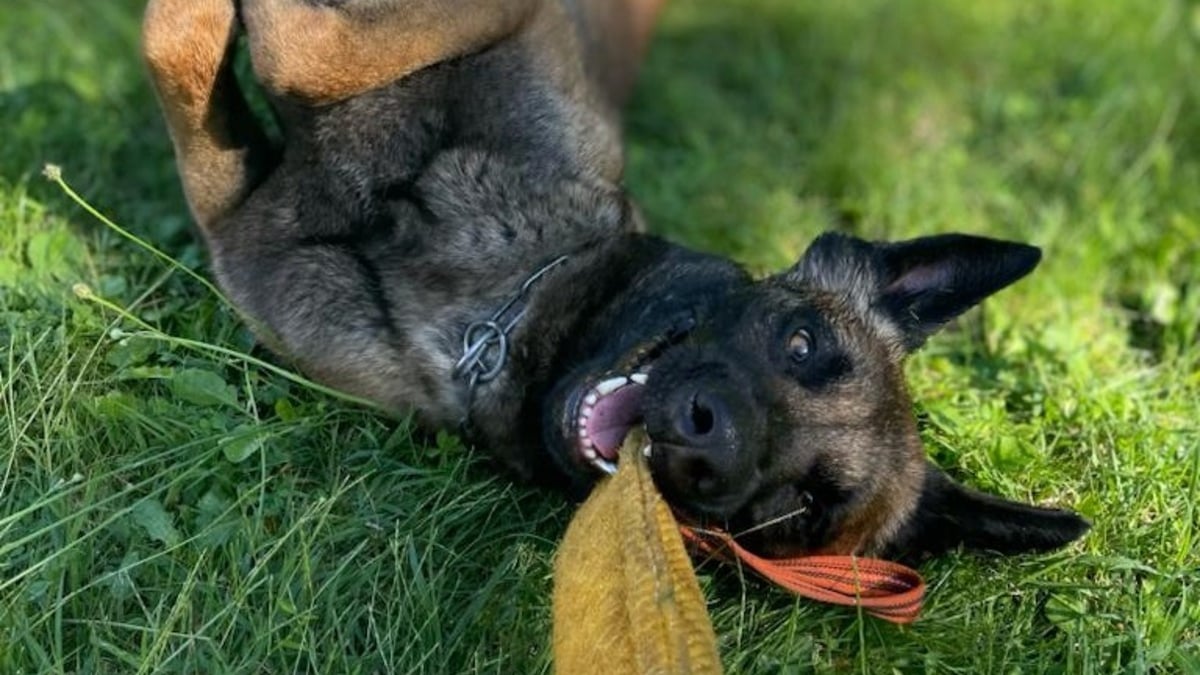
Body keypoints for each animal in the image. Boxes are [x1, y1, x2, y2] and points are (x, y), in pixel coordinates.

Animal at [140, 0, 1089, 557]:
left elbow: (220, 48)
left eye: (799, 508)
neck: (500, 307)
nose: (707, 438)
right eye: (800, 338)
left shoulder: (239, 220)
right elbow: (292, 46)